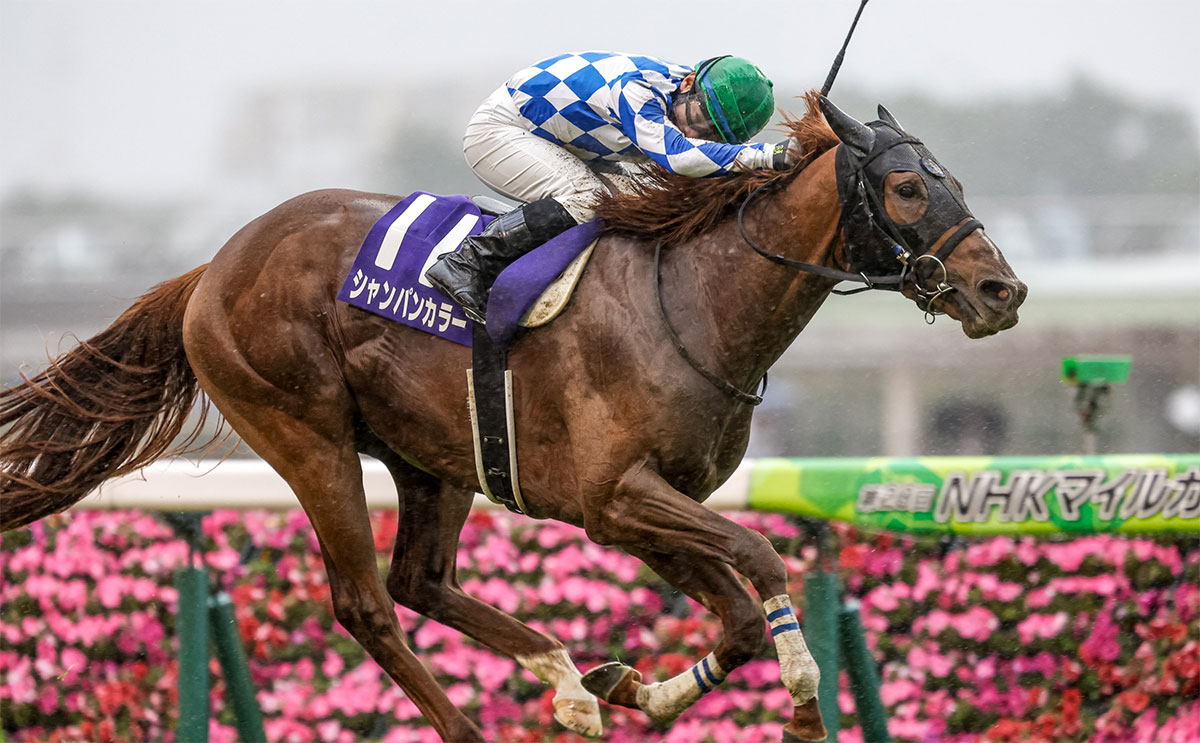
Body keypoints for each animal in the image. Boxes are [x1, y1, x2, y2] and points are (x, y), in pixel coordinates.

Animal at [4, 94, 1027, 743]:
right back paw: (476, 720)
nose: (1001, 290)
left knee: (419, 580)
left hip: (432, 455)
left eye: (955, 179)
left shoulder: (642, 507)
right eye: (907, 188)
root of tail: (212, 266)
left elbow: (737, 617)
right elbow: (766, 557)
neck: (693, 300)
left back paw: (566, 679)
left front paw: (634, 686)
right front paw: (806, 701)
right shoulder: (616, 495)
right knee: (367, 601)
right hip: (306, 434)